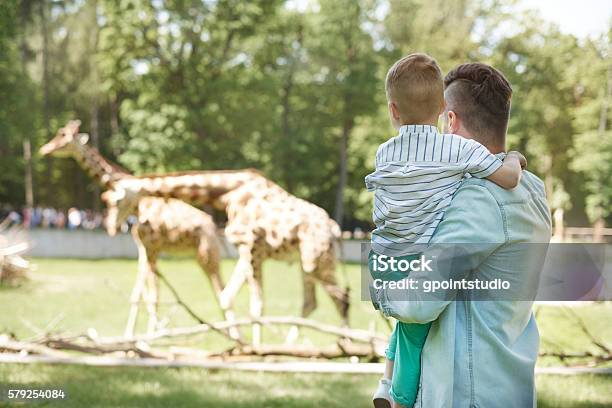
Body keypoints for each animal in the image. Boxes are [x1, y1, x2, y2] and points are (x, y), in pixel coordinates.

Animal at [38, 121, 237, 338]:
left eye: (63, 136)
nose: (44, 149)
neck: (139, 206)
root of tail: (214, 227)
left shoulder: (152, 247)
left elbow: (153, 295)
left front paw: (151, 336)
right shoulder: (143, 248)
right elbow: (139, 294)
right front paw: (132, 335)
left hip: (207, 254)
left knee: (222, 291)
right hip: (200, 255)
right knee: (221, 291)